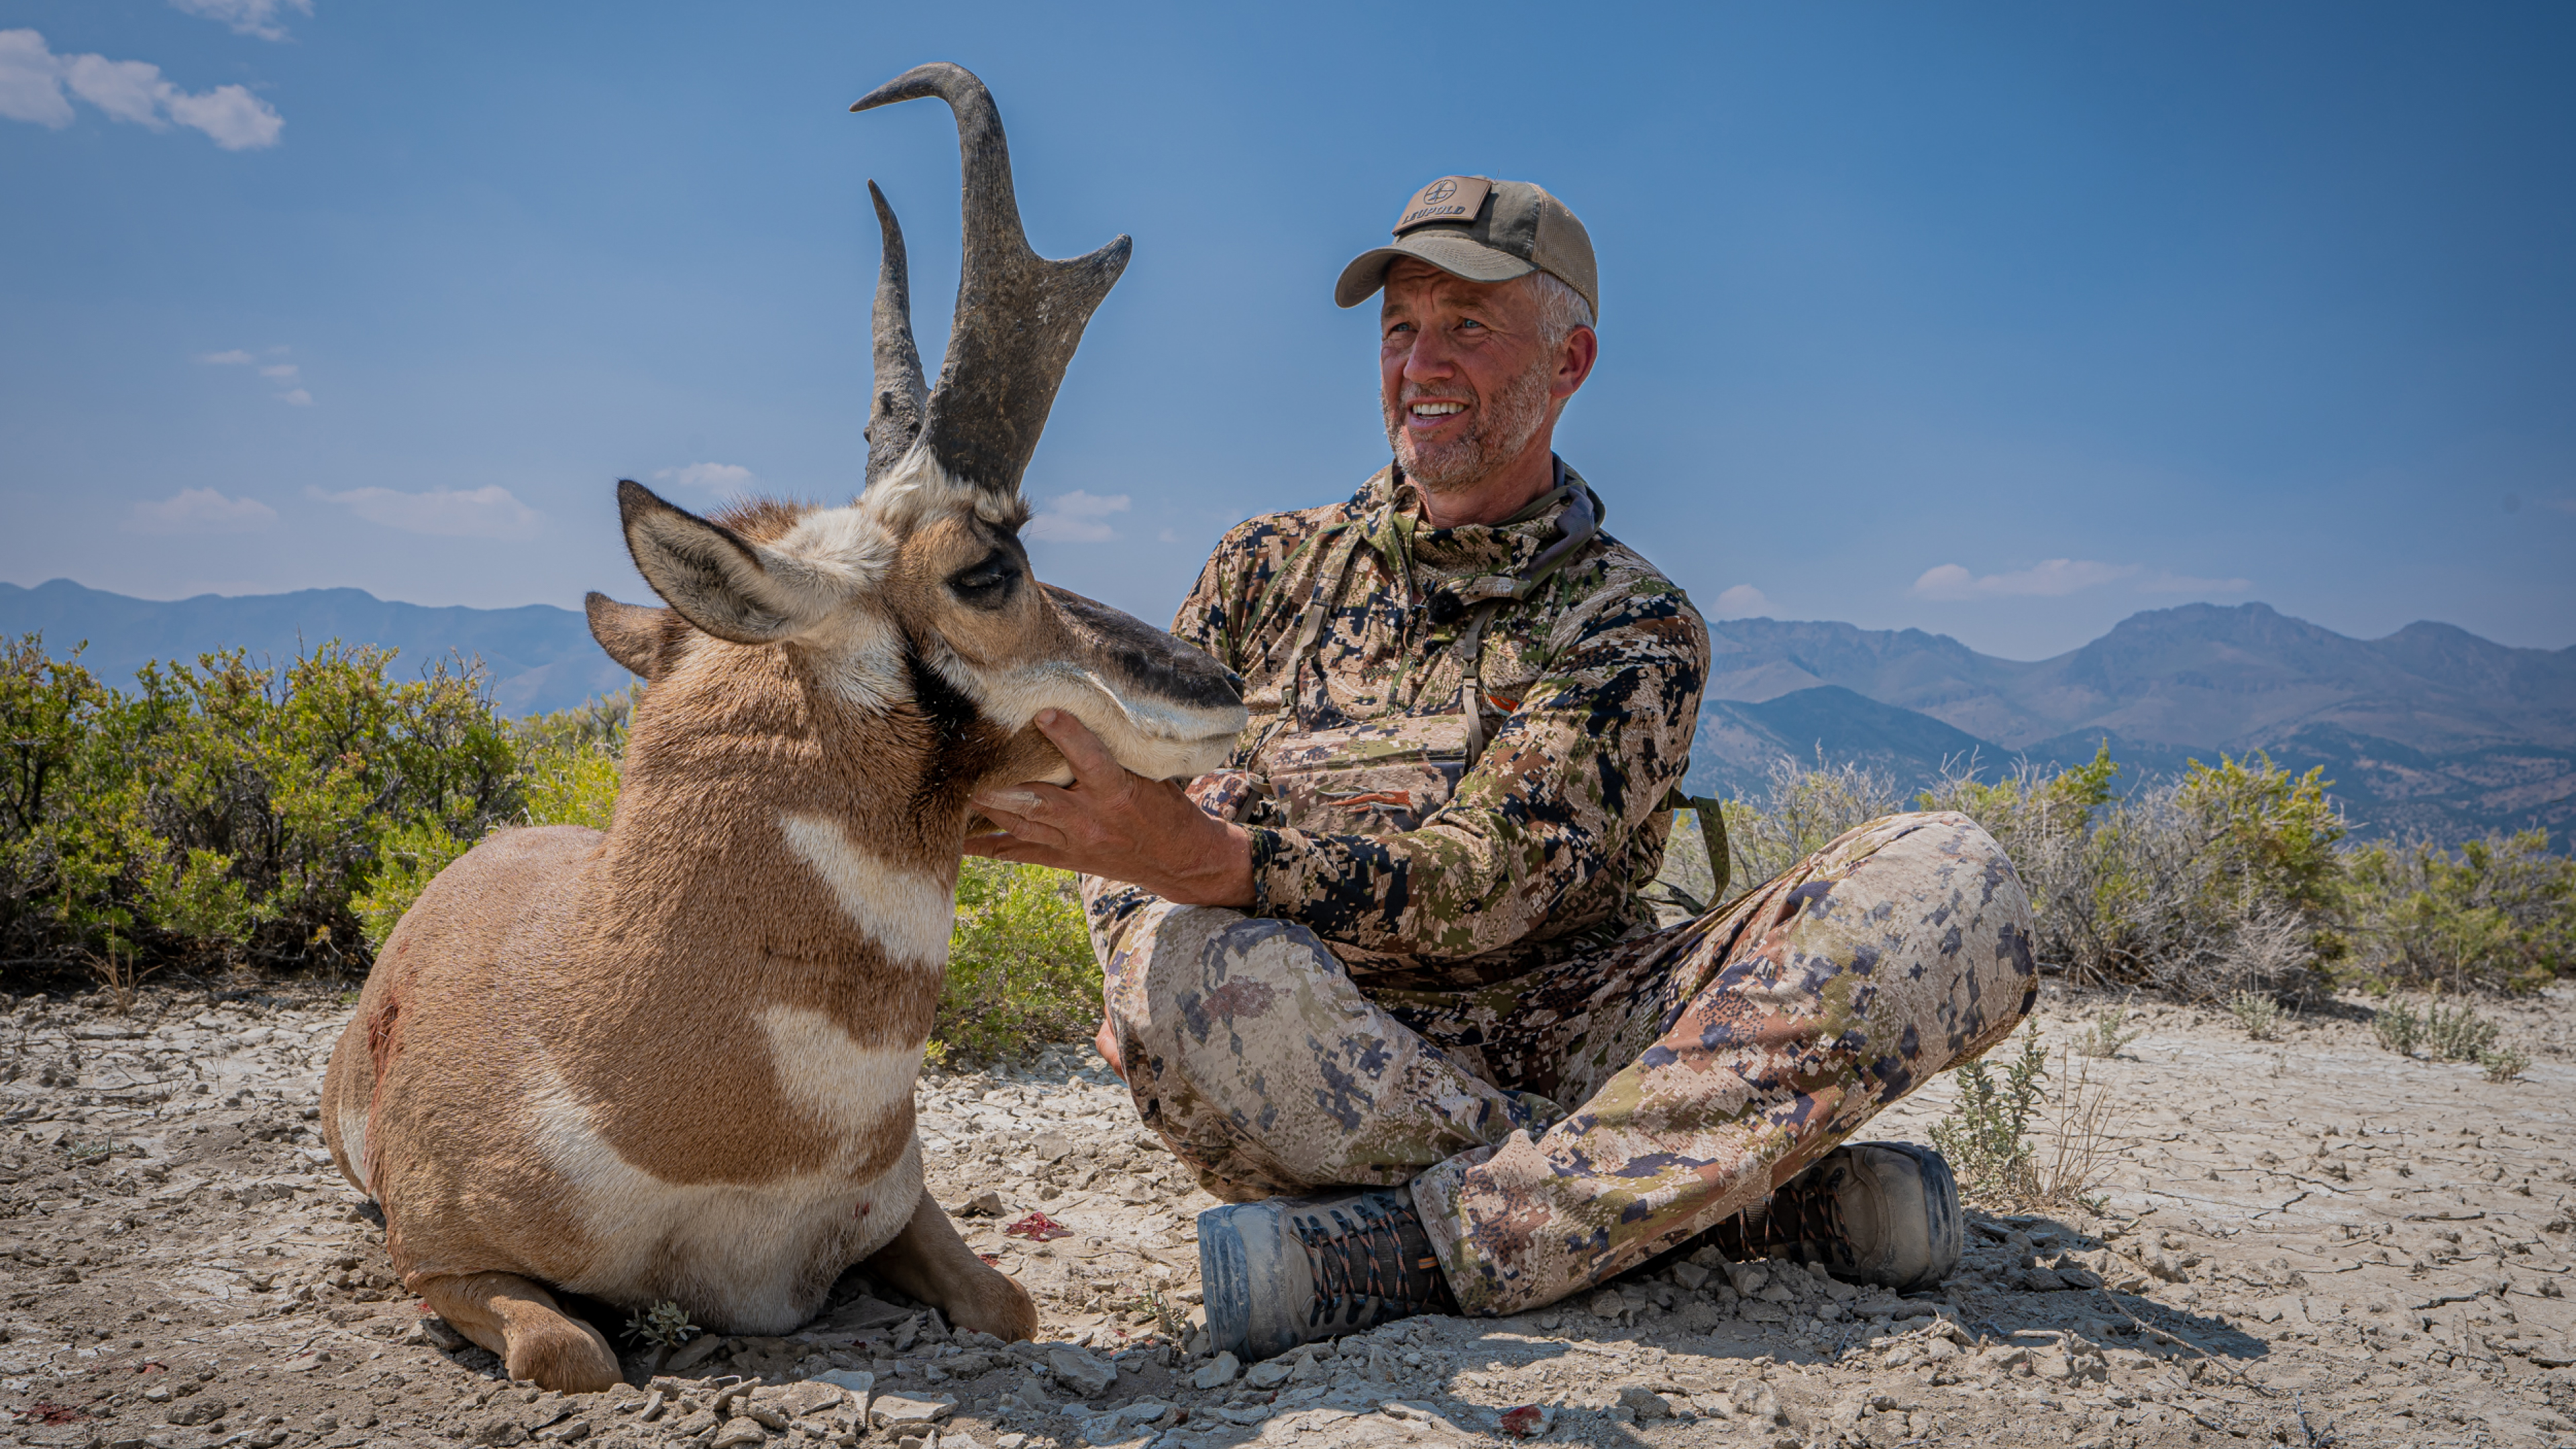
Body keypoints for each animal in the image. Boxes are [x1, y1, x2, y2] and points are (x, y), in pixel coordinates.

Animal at [319, 62, 1245, 1393]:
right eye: (988, 569)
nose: (1221, 682)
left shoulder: (908, 1211)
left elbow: (1008, 1303)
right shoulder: (441, 1259)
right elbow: (574, 1352)